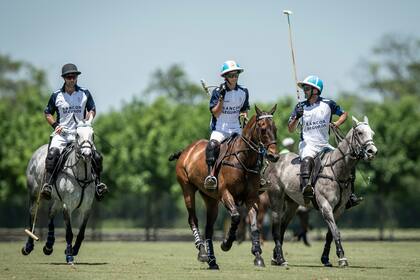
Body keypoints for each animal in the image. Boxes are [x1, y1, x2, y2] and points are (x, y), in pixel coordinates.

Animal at [22, 116, 97, 264]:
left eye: (92, 135)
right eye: (77, 134)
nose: (87, 154)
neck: (81, 175)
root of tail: (38, 150)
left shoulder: (86, 208)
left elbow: (81, 233)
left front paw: (73, 250)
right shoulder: (67, 205)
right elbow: (69, 232)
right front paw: (69, 256)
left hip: (57, 199)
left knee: (51, 212)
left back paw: (49, 245)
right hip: (34, 193)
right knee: (33, 213)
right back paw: (28, 246)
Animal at [167, 105, 278, 270]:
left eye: (275, 128)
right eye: (263, 128)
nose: (274, 156)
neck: (244, 160)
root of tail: (186, 150)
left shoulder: (251, 198)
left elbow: (254, 225)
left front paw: (258, 256)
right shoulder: (226, 194)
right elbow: (236, 217)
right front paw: (226, 243)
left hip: (210, 199)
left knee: (209, 228)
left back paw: (212, 261)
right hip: (187, 189)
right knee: (193, 219)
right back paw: (202, 253)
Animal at [266, 116, 378, 266]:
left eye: (372, 133)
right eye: (359, 133)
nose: (373, 151)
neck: (337, 171)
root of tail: (275, 160)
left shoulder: (339, 209)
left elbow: (330, 234)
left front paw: (325, 258)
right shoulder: (326, 206)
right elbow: (336, 232)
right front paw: (342, 258)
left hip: (292, 203)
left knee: (283, 225)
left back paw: (275, 257)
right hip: (276, 198)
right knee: (276, 226)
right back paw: (280, 258)